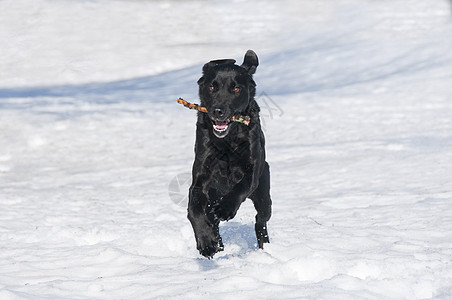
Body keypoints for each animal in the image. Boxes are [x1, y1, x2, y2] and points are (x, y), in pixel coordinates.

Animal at [187, 49, 272, 258]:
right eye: (212, 87)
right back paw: (216, 242)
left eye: (236, 89)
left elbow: (240, 186)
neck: (227, 141)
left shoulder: (252, 171)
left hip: (264, 194)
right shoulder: (200, 181)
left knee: (260, 221)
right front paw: (206, 242)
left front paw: (226, 209)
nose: (218, 111)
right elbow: (195, 211)